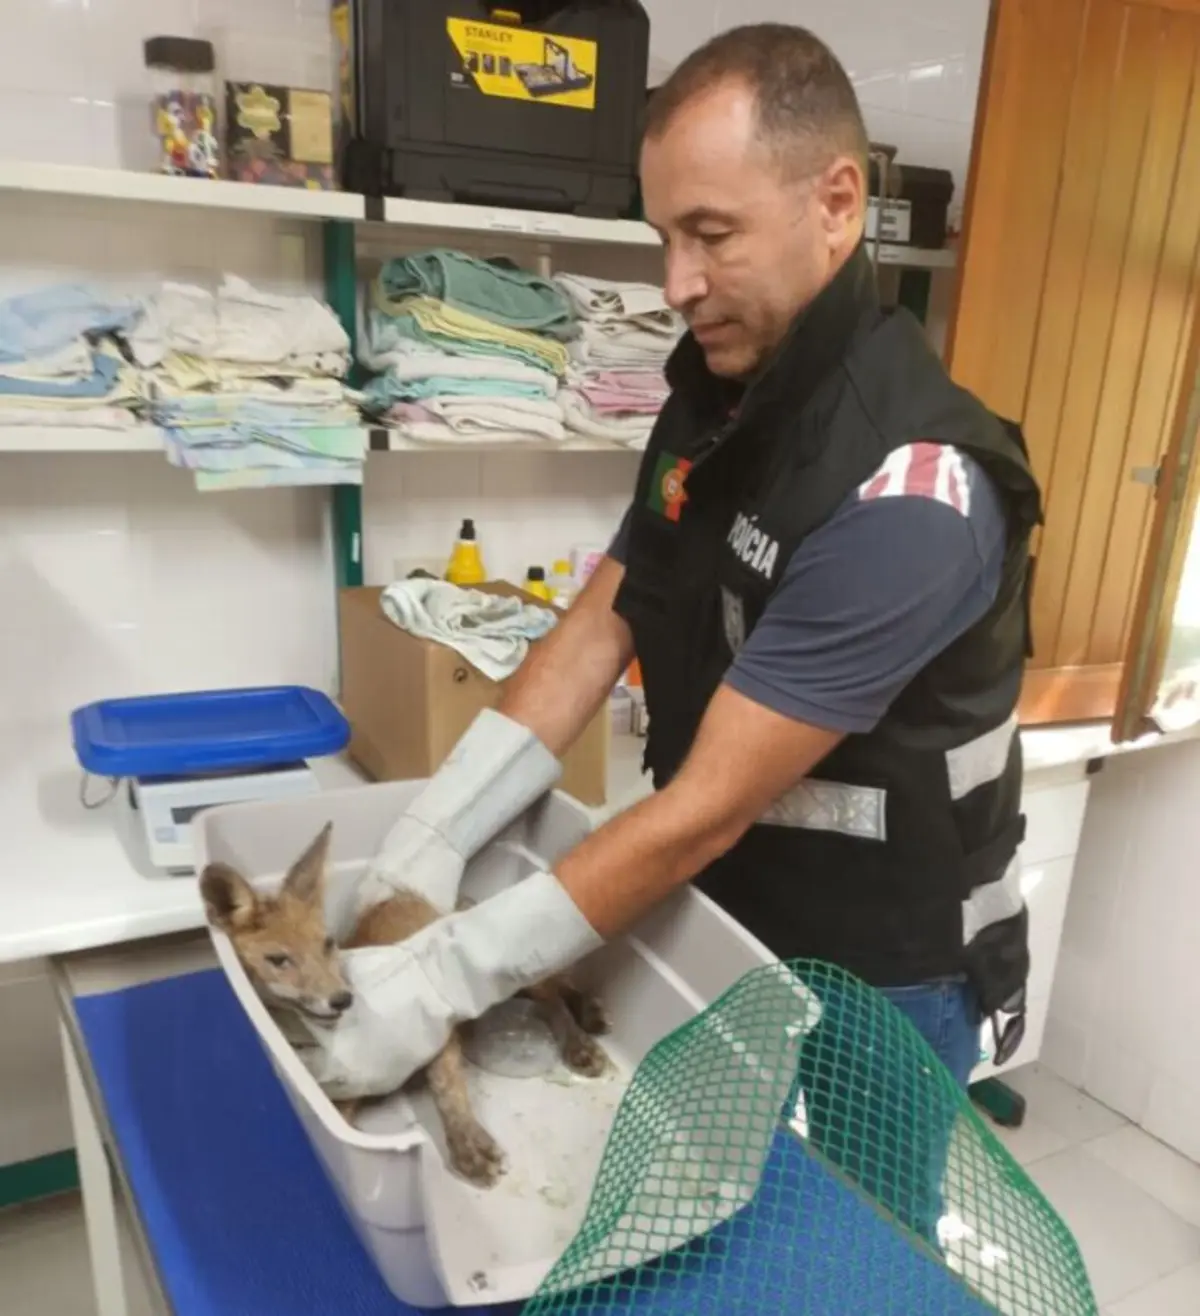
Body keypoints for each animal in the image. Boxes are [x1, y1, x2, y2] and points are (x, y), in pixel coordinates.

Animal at [200, 821, 610, 1188]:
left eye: (327, 945)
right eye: (279, 960)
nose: (342, 998)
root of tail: (404, 895)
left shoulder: (436, 1032)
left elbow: (447, 1090)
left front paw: (468, 1145)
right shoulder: (349, 1090)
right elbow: (342, 1118)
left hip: (505, 975)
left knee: (552, 989)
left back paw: (582, 1034)